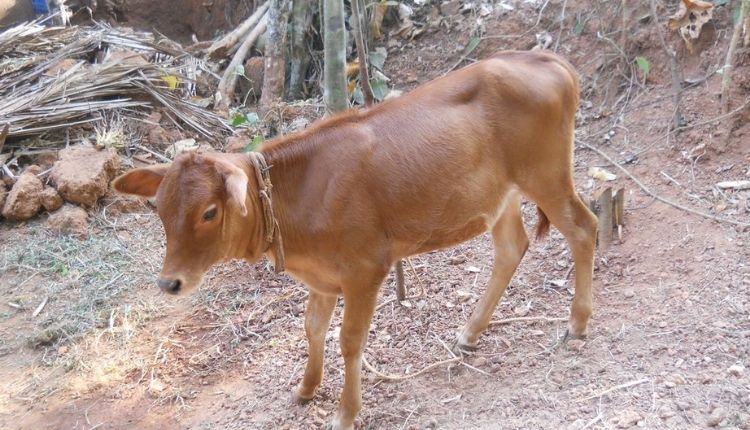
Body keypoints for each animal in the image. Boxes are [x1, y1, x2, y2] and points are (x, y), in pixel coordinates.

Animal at [114, 49, 600, 426]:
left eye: (210, 212)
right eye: (160, 209)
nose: (169, 282)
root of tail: (546, 58)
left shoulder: (366, 270)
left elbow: (350, 341)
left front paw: (346, 413)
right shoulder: (323, 276)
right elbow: (312, 328)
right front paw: (306, 389)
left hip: (546, 174)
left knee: (584, 228)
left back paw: (576, 324)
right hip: (500, 196)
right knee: (512, 247)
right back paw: (470, 333)